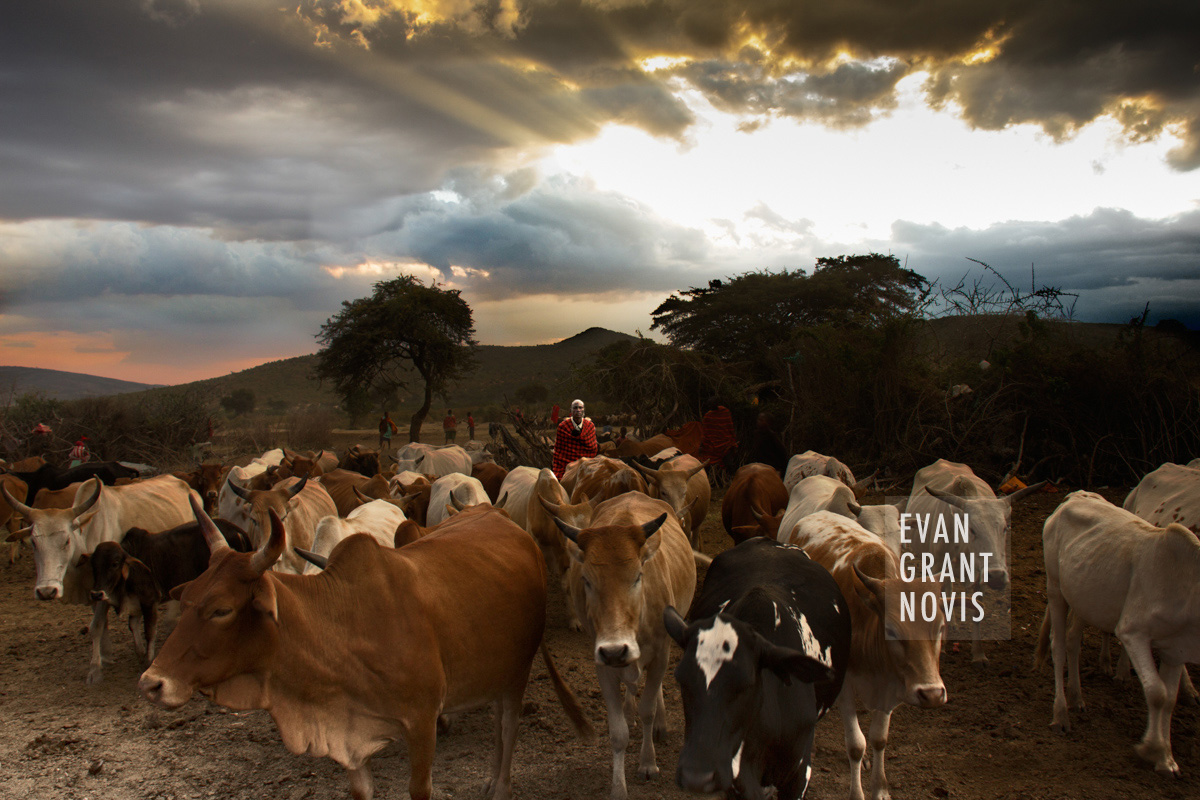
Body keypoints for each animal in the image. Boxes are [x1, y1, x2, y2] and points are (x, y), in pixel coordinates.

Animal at [140, 501, 590, 800]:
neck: (342, 626)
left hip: (518, 671)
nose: (151, 683)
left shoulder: (421, 722)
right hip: (492, 671)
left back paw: (501, 786)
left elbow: (420, 788)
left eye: (222, 610)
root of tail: (499, 517)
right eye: (188, 598)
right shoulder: (349, 738)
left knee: (508, 728)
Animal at [662, 537, 849, 800]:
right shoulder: (735, 779)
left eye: (746, 684)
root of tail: (768, 541)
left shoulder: (799, 774)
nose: (696, 777)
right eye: (681, 680)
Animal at [1041, 491, 1200, 777]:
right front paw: (1150, 748)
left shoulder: (1175, 649)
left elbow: (1169, 699)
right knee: (1058, 646)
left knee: (1072, 641)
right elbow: (1157, 693)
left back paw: (1077, 697)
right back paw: (1061, 714)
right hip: (1055, 587)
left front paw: (1166, 758)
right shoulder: (1132, 631)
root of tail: (1069, 500)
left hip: (1082, 596)